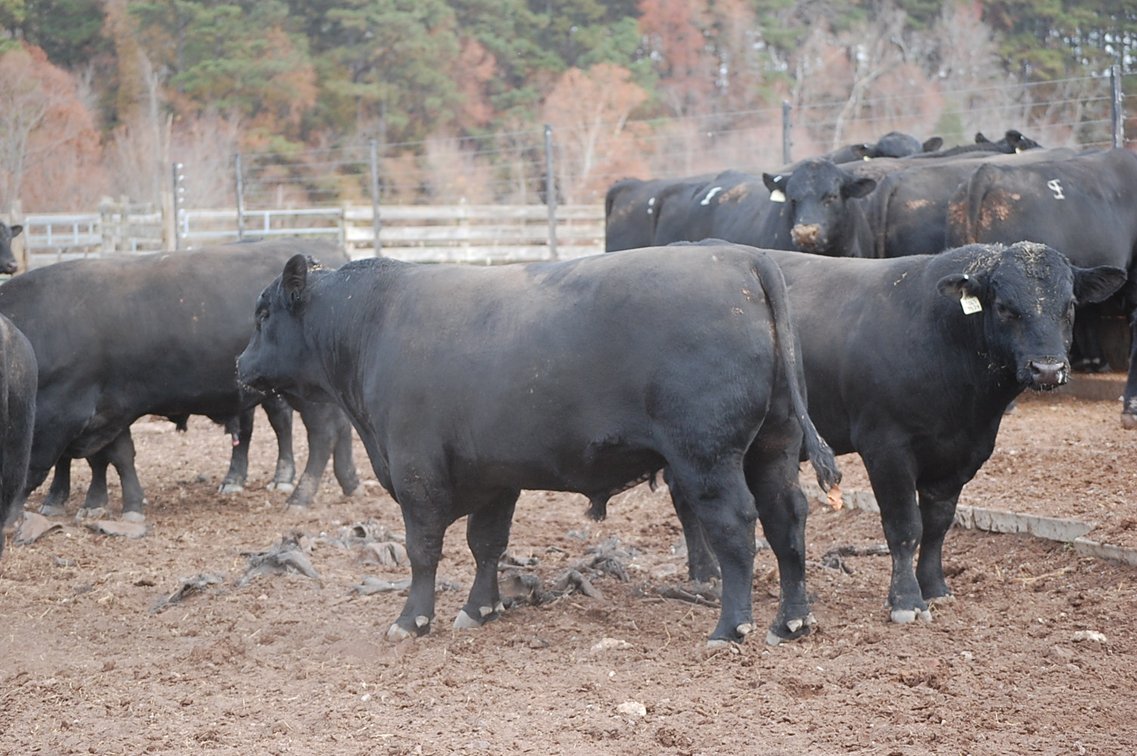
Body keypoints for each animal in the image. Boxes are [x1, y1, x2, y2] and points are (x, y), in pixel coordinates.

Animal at [0, 238, 361, 521]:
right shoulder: (107, 409)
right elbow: (113, 456)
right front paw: (108, 503)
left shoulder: (67, 413)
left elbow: (51, 463)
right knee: (338, 428)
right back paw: (349, 481)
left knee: (323, 434)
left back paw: (300, 496)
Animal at [236, 245, 841, 646]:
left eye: (263, 313)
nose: (240, 364)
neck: (372, 324)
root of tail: (740, 257)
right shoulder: (494, 476)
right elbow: (486, 544)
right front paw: (480, 608)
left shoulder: (416, 472)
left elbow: (422, 550)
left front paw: (413, 620)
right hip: (773, 447)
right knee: (788, 519)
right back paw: (791, 621)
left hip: (707, 458)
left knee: (737, 528)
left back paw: (730, 627)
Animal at [668, 241, 1125, 623]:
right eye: (1004, 307)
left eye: (1069, 305)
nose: (1047, 368)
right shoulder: (886, 446)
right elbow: (904, 526)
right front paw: (906, 600)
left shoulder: (962, 453)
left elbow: (938, 524)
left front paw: (935, 587)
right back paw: (706, 573)